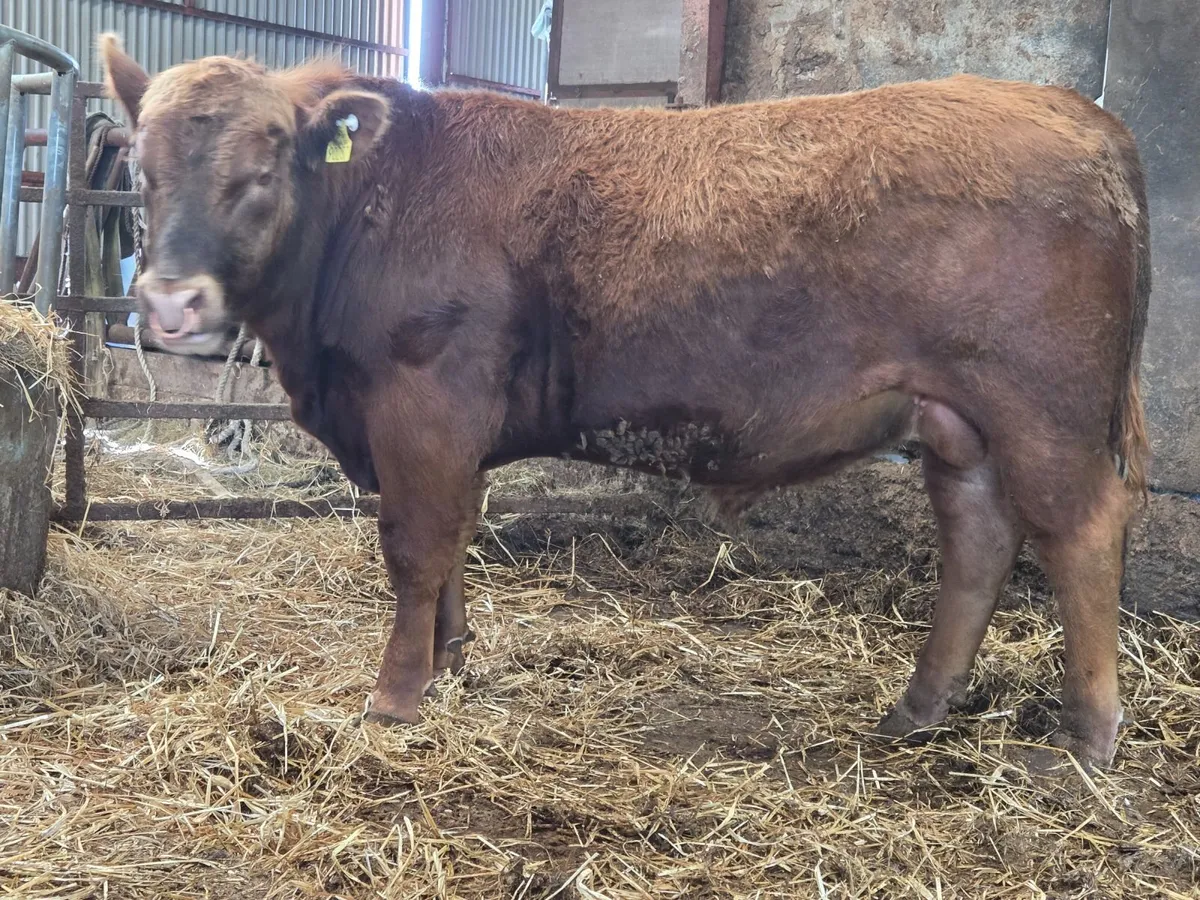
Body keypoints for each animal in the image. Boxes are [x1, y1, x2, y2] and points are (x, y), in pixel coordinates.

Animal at [99, 34, 1151, 770]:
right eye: (142, 169)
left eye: (262, 168)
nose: (170, 302)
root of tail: (1070, 109)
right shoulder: (444, 435)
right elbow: (454, 542)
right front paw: (451, 660)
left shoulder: (422, 410)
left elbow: (415, 547)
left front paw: (395, 695)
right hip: (957, 421)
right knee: (979, 538)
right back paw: (919, 709)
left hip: (1042, 412)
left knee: (1081, 532)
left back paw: (1086, 739)